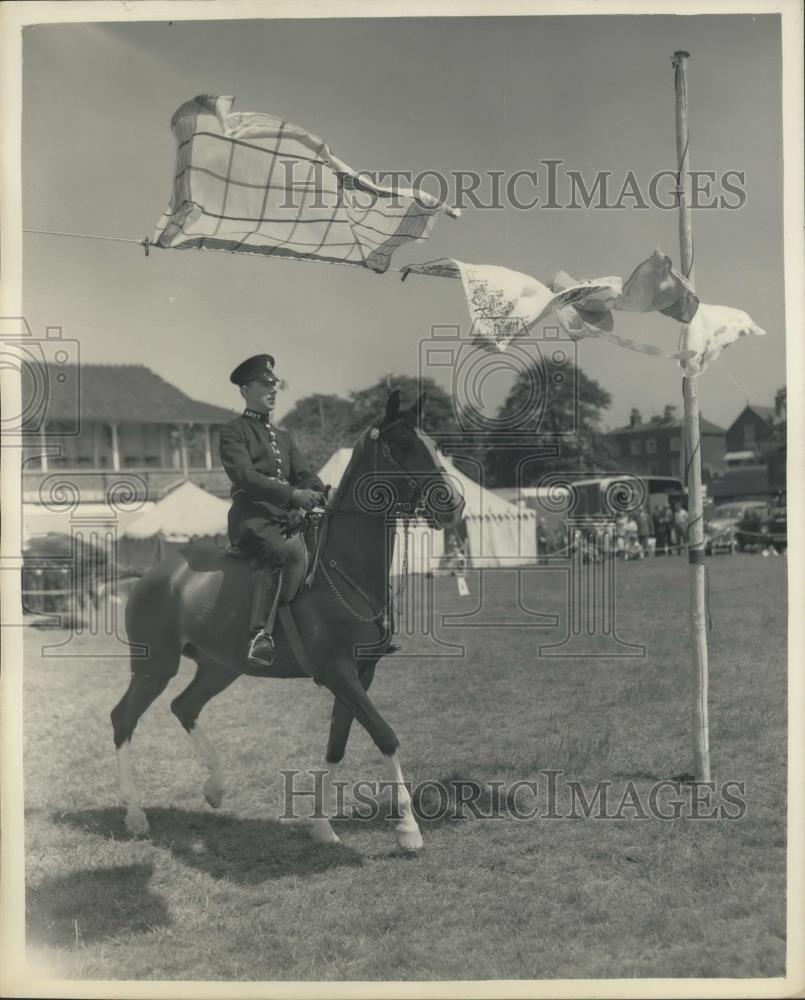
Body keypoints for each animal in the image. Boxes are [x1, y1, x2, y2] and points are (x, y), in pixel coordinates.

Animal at [113, 390, 464, 852]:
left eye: (435, 444)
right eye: (404, 444)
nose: (454, 505)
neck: (342, 567)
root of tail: (155, 573)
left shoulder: (361, 674)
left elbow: (337, 743)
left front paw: (321, 826)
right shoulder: (336, 673)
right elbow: (385, 735)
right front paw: (408, 829)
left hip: (219, 667)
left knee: (184, 706)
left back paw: (215, 788)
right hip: (154, 666)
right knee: (124, 719)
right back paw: (135, 816)